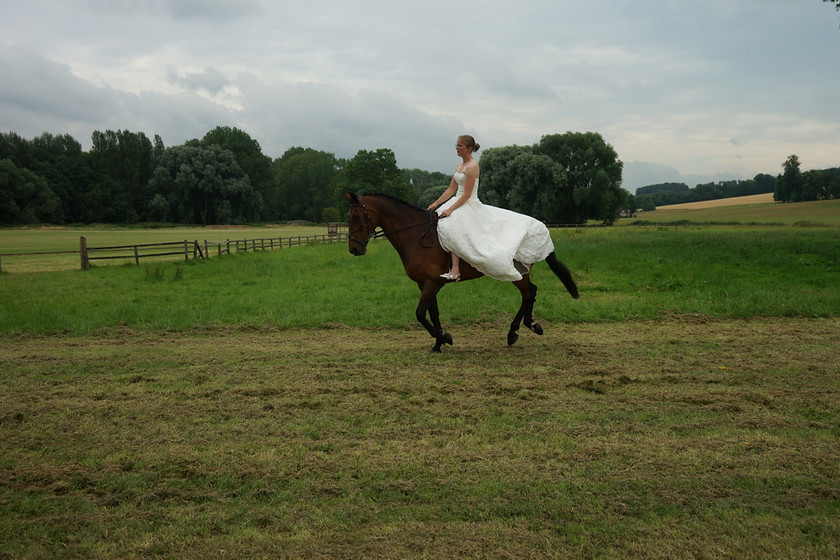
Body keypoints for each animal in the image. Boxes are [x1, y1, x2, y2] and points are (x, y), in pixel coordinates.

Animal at [342, 190, 576, 352]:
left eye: (355, 217)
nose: (354, 249)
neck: (416, 235)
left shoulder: (432, 283)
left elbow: (420, 314)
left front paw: (444, 337)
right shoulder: (426, 283)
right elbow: (433, 312)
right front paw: (438, 343)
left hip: (517, 273)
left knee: (528, 293)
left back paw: (515, 332)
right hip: (521, 273)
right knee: (531, 292)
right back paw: (528, 326)